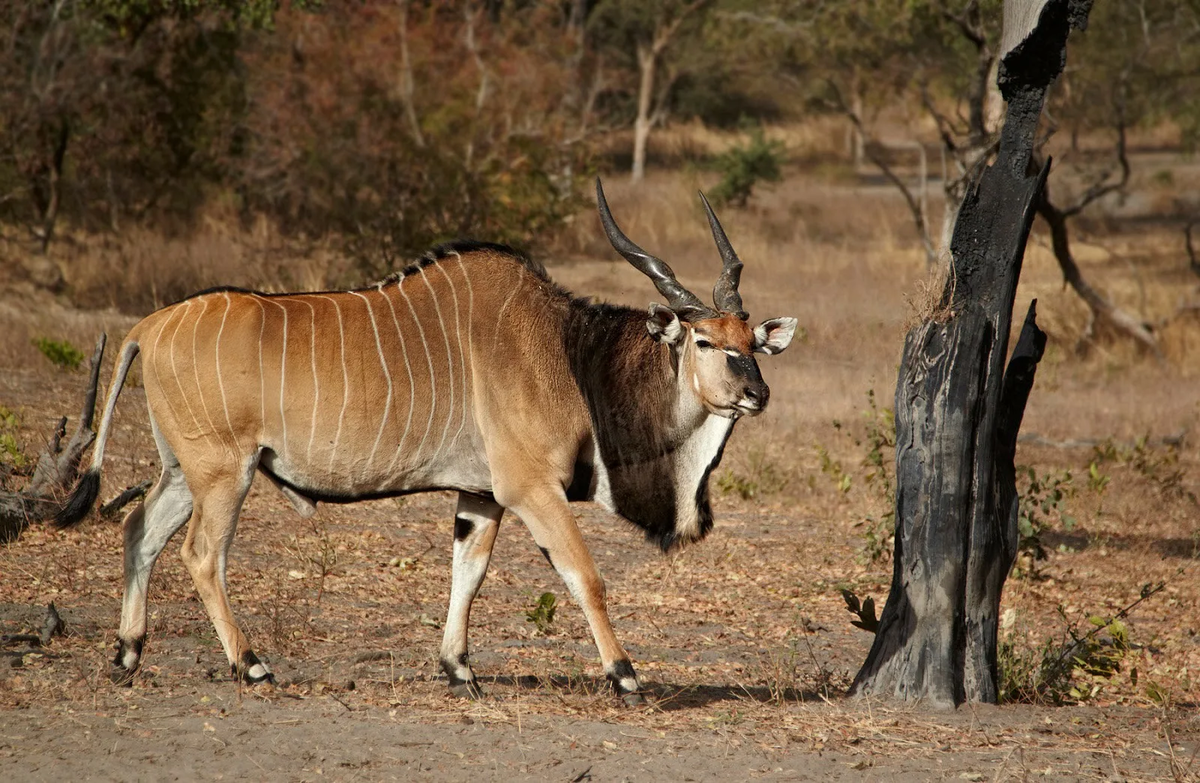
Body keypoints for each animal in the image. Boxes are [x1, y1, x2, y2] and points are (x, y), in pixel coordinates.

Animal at [56, 178, 796, 701]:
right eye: (705, 341)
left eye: (751, 340)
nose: (757, 393)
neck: (566, 351)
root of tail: (147, 326)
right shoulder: (530, 490)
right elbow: (585, 576)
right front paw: (626, 675)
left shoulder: (481, 496)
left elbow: (467, 573)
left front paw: (459, 669)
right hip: (223, 472)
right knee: (201, 553)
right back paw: (253, 665)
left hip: (185, 471)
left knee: (140, 531)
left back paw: (127, 654)